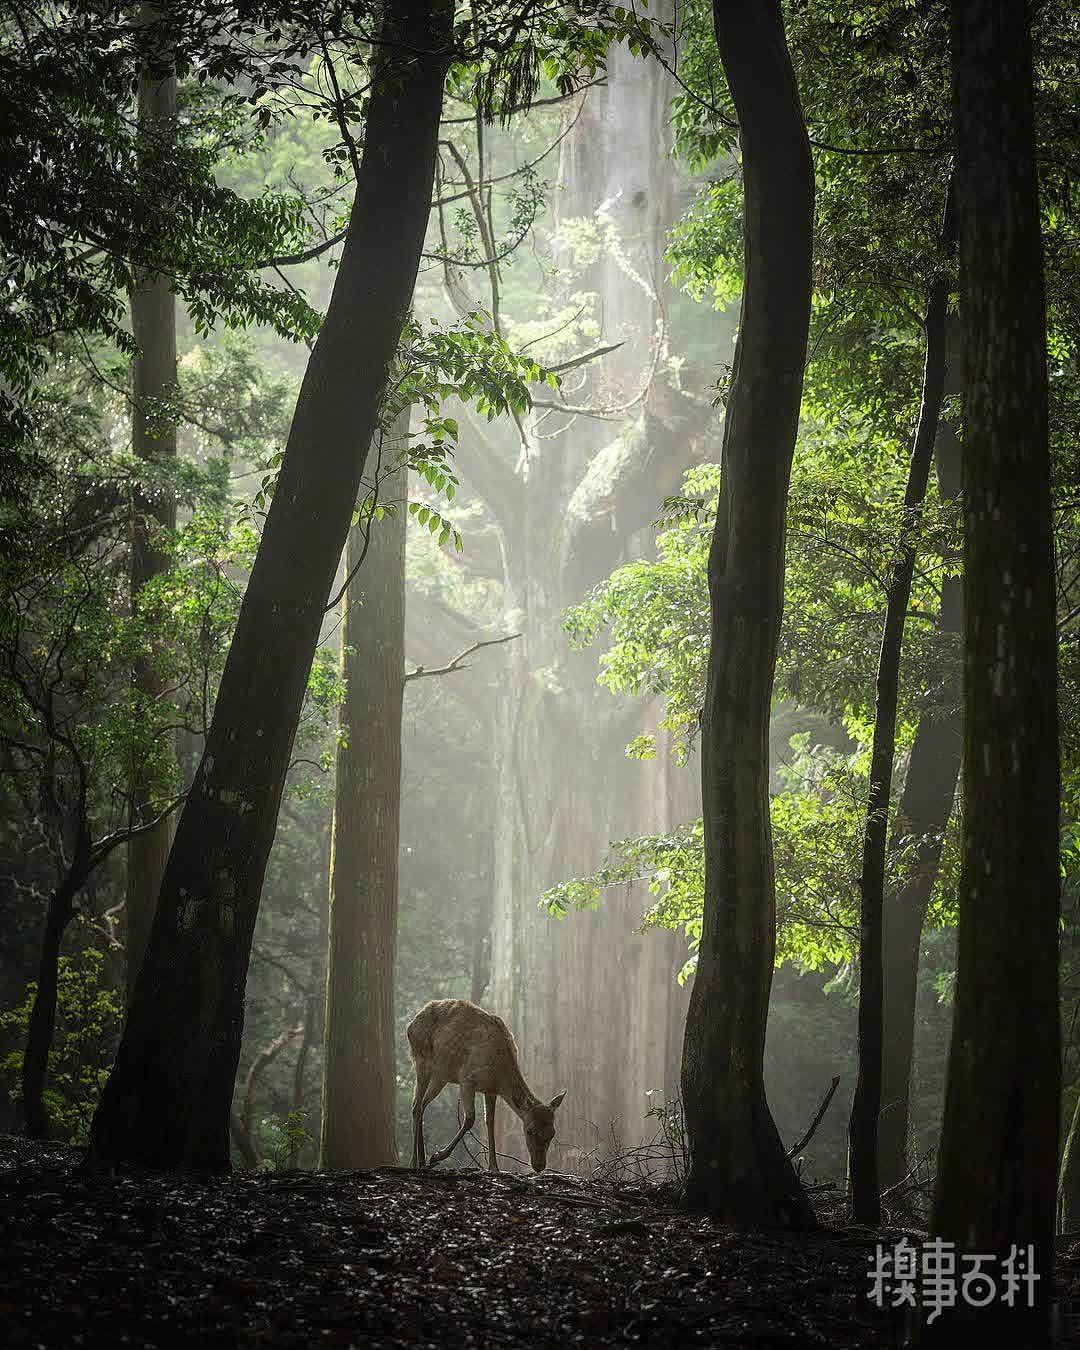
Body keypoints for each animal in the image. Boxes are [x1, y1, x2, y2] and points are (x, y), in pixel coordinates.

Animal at [407, 999, 564, 1177]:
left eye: (552, 1133)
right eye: (530, 1130)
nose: (539, 1165)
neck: (499, 1076)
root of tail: (410, 1025)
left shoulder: (491, 1090)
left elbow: (490, 1122)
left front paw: (494, 1167)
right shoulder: (467, 1080)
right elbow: (470, 1119)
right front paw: (437, 1155)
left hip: (441, 1075)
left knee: (423, 1104)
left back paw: (422, 1161)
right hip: (421, 1060)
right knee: (416, 1105)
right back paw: (415, 1162)